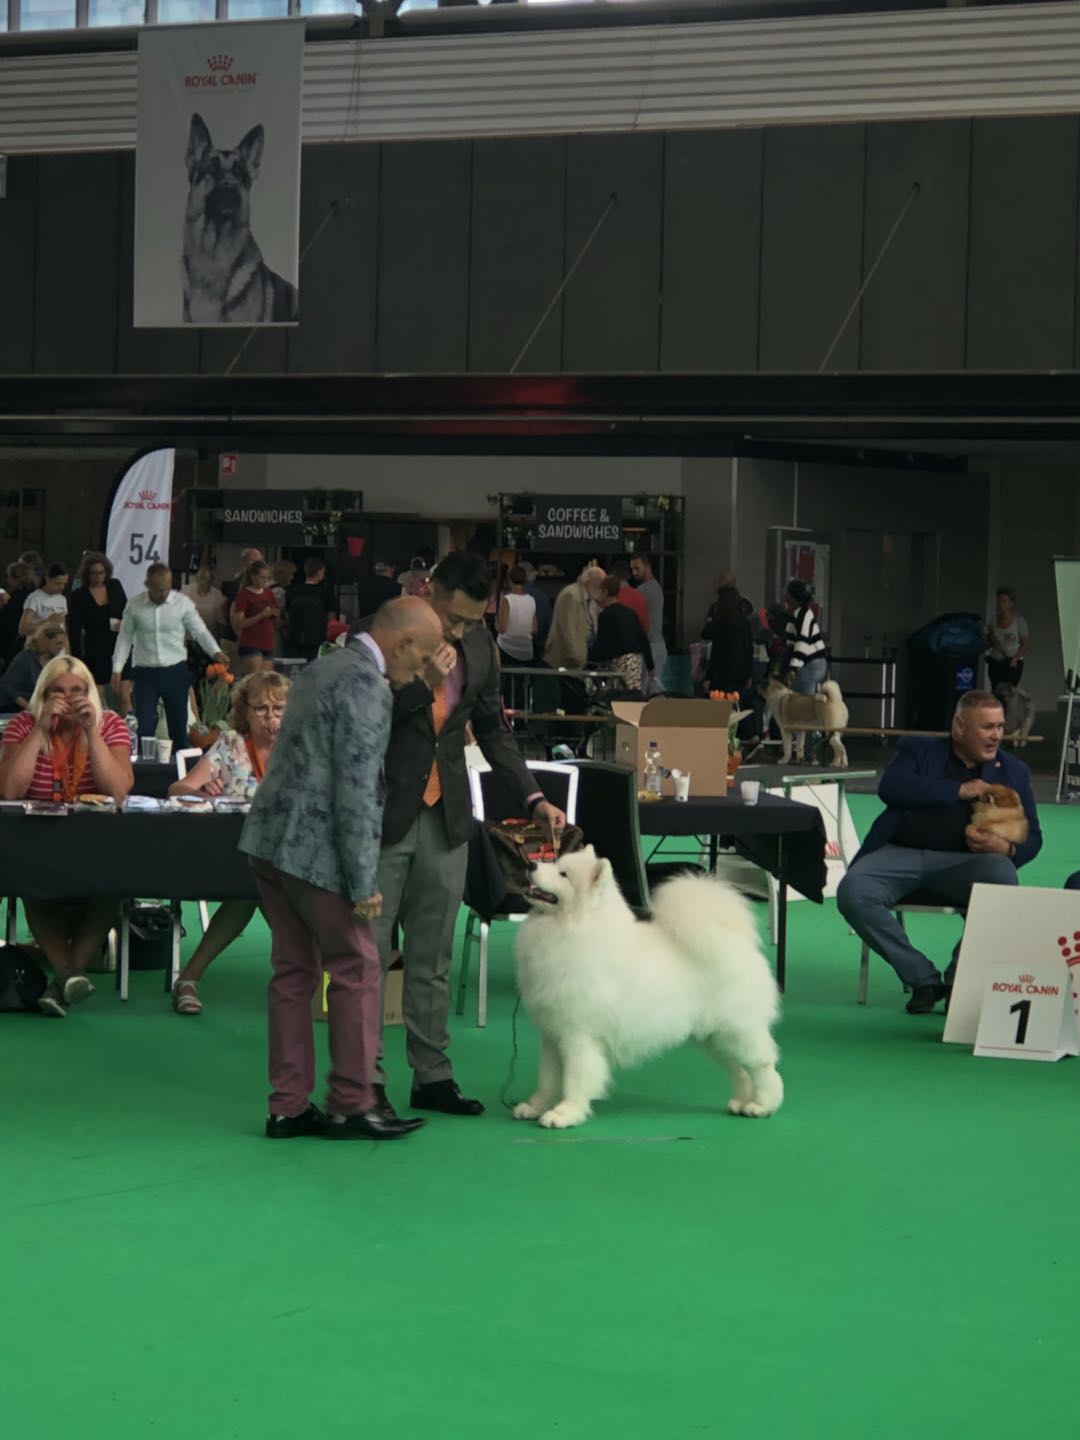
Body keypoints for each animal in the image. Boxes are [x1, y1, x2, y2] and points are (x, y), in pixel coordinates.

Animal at [513, 847, 783, 1129]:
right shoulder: (552, 1035)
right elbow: (547, 1078)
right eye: (556, 863)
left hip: (736, 1030)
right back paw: (741, 1102)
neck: (575, 928)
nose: (530, 864)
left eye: (563, 874)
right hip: (713, 1036)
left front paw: (566, 1113)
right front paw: (535, 1106)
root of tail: (736, 939)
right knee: (738, 1069)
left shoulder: (578, 1036)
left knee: (763, 1066)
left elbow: (575, 1079)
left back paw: (762, 1105)